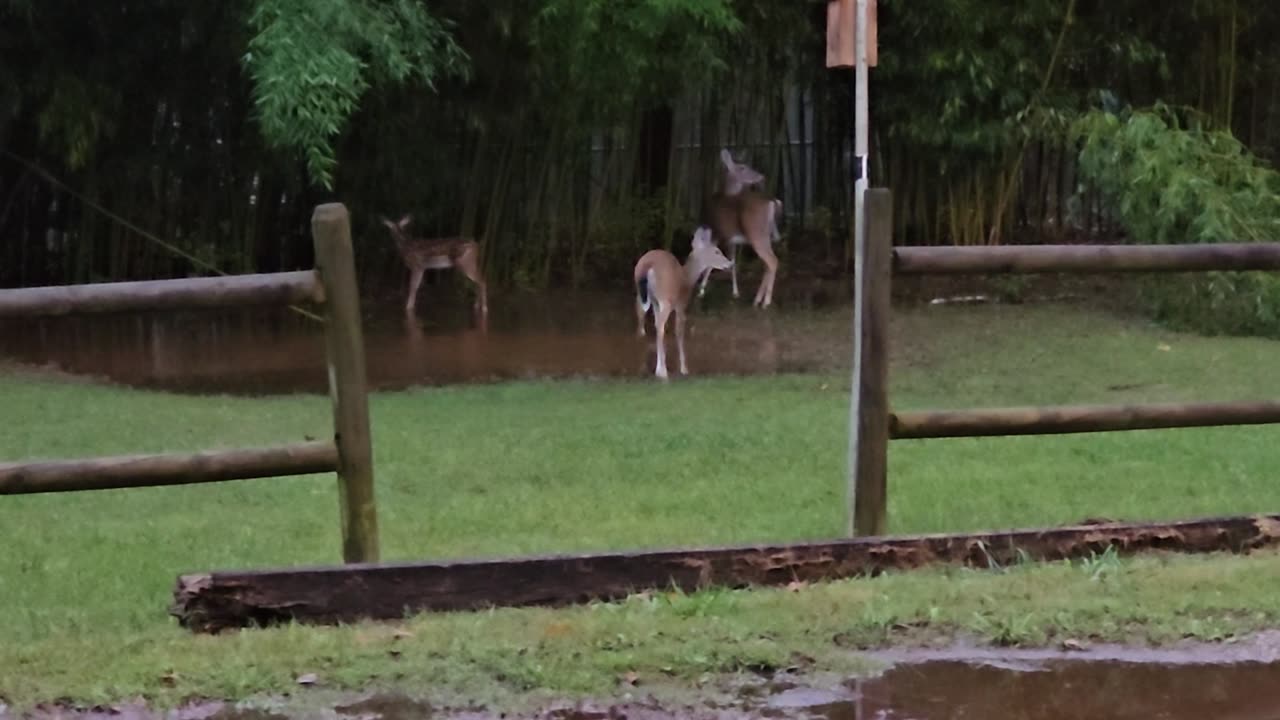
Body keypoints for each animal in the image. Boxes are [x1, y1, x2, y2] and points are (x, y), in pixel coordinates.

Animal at [633, 226, 735, 379]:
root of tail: (647, 265)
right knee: (661, 326)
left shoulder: (657, 303)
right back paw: (662, 372)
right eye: (716, 251)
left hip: (642, 295)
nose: (730, 263)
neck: (687, 277)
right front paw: (684, 369)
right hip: (666, 298)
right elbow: (679, 332)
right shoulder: (681, 304)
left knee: (642, 321)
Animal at [698, 148, 784, 308]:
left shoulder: (718, 233)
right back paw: (757, 300)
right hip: (765, 235)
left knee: (772, 261)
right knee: (767, 264)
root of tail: (772, 203)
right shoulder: (731, 239)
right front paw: (735, 292)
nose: (761, 176)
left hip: (756, 234)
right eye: (742, 167)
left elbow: (711, 262)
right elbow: (732, 262)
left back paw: (765, 302)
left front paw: (701, 291)